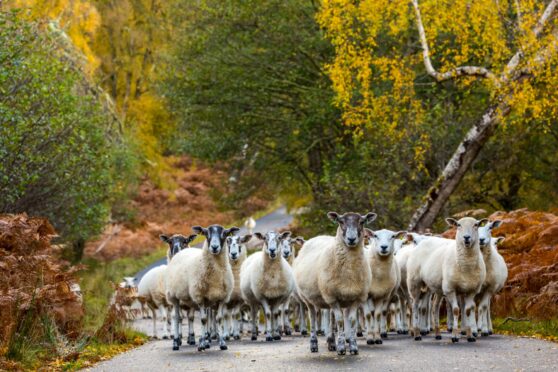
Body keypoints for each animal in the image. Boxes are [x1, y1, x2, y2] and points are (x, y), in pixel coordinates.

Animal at [164, 224, 238, 352]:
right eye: (206, 233)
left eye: (225, 233)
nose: (214, 247)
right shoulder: (200, 297)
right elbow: (203, 320)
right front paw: (202, 343)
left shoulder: (221, 298)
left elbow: (218, 319)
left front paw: (221, 343)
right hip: (174, 296)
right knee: (177, 317)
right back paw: (176, 342)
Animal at [294, 212, 376, 354]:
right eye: (341, 221)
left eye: (362, 222)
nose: (351, 239)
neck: (350, 270)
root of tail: (315, 238)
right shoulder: (333, 297)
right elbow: (340, 321)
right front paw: (342, 347)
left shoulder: (356, 297)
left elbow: (351, 321)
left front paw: (353, 346)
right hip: (309, 298)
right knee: (313, 318)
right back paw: (314, 344)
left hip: (327, 298)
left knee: (330, 319)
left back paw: (331, 342)